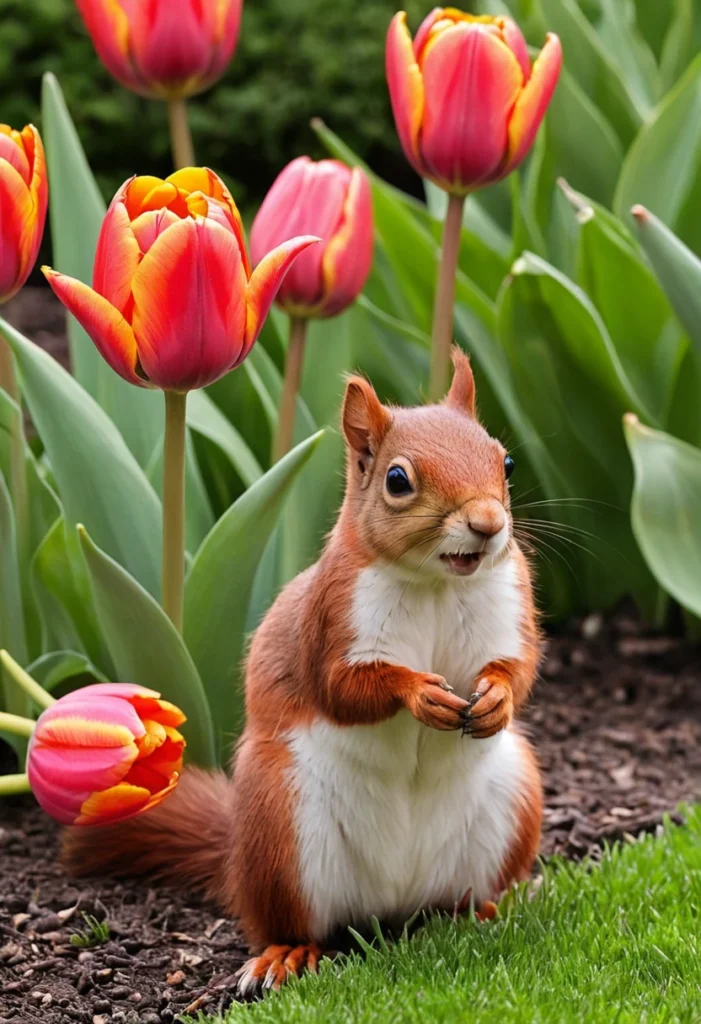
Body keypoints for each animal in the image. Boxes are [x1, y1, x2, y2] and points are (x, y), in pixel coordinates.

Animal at [63, 348, 543, 995]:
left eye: (506, 461)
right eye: (398, 480)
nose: (489, 524)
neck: (439, 583)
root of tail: (393, 904)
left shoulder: (509, 606)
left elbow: (519, 665)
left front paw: (496, 698)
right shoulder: (331, 622)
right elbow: (344, 689)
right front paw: (419, 693)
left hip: (515, 798)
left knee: (459, 897)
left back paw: (487, 910)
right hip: (281, 829)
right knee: (288, 921)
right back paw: (286, 954)